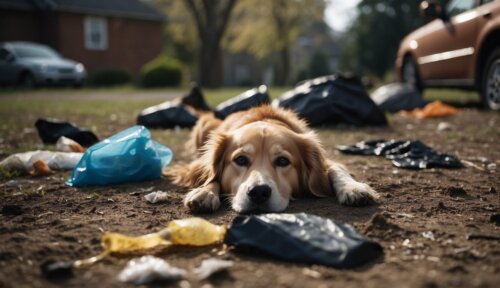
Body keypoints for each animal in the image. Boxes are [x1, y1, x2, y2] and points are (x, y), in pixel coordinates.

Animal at [164, 104, 378, 213]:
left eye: (283, 161)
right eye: (240, 160)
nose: (259, 192)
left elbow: (336, 169)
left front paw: (353, 188)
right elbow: (210, 175)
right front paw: (205, 192)